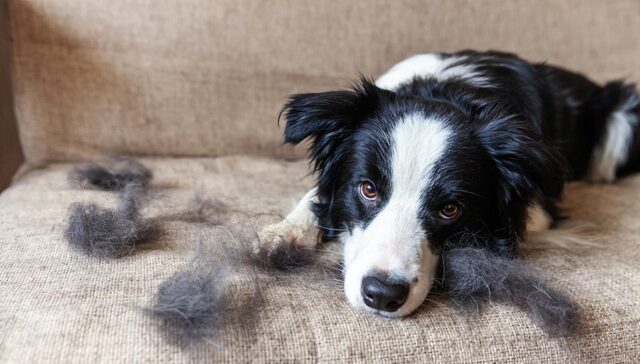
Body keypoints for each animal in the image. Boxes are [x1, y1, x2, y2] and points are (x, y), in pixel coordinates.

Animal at [255, 49, 640, 318]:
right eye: (368, 189)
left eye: (450, 209)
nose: (382, 295)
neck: (447, 92)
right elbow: (317, 196)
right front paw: (285, 233)